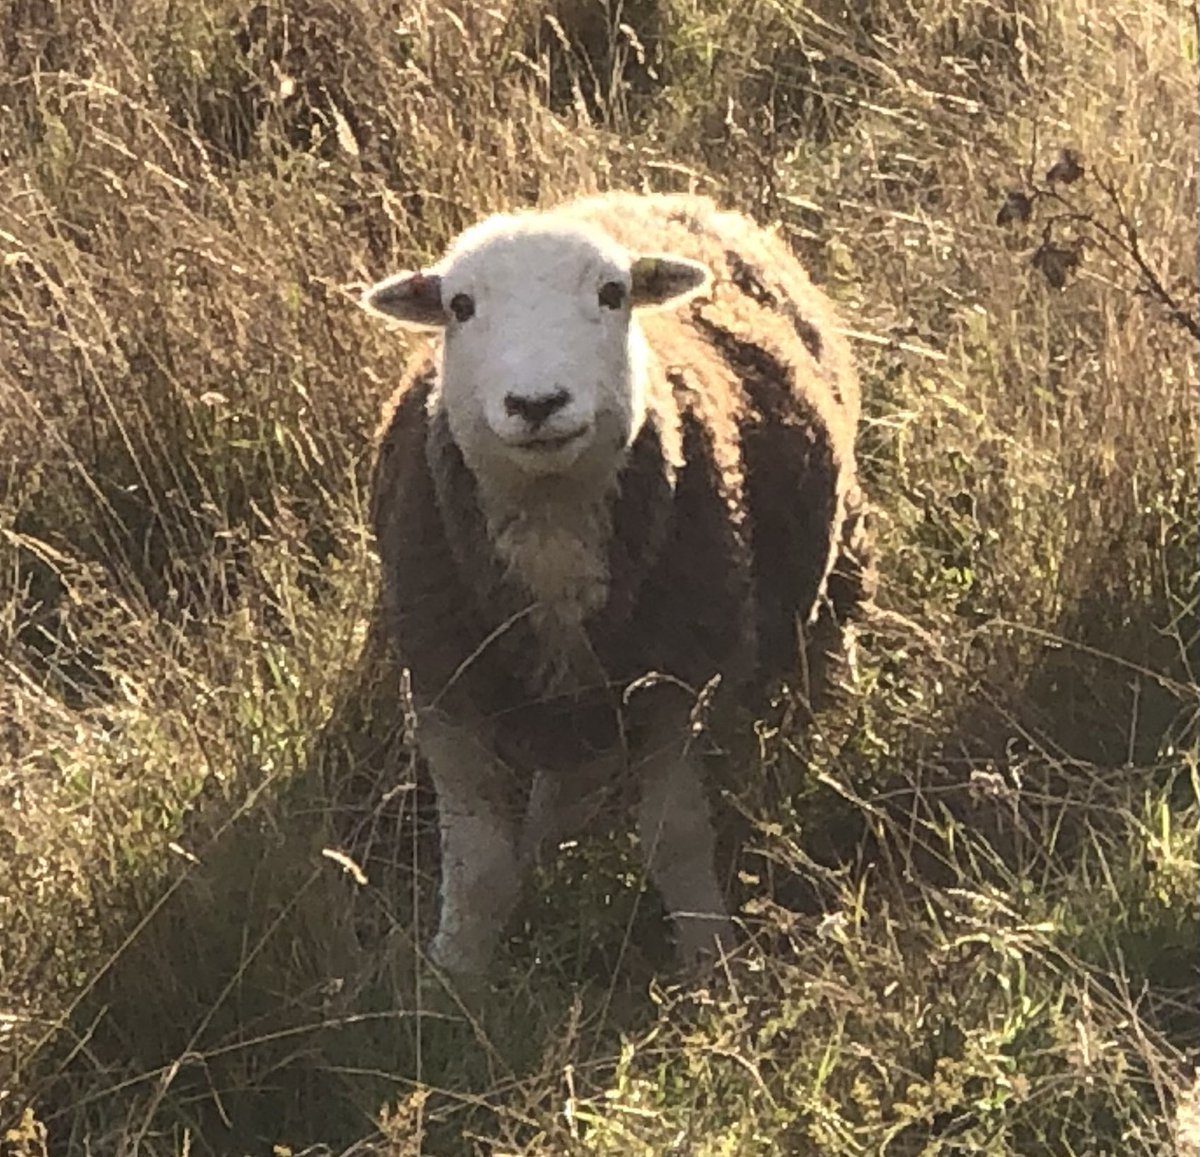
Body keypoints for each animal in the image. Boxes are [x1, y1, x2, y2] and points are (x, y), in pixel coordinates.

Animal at [358, 191, 871, 985]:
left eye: (612, 293)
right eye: (459, 306)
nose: (537, 403)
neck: (552, 531)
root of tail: (662, 196)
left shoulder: (677, 680)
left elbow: (674, 838)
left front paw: (709, 964)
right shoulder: (445, 682)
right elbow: (477, 864)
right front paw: (453, 975)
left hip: (834, 564)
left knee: (827, 654)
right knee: (564, 786)